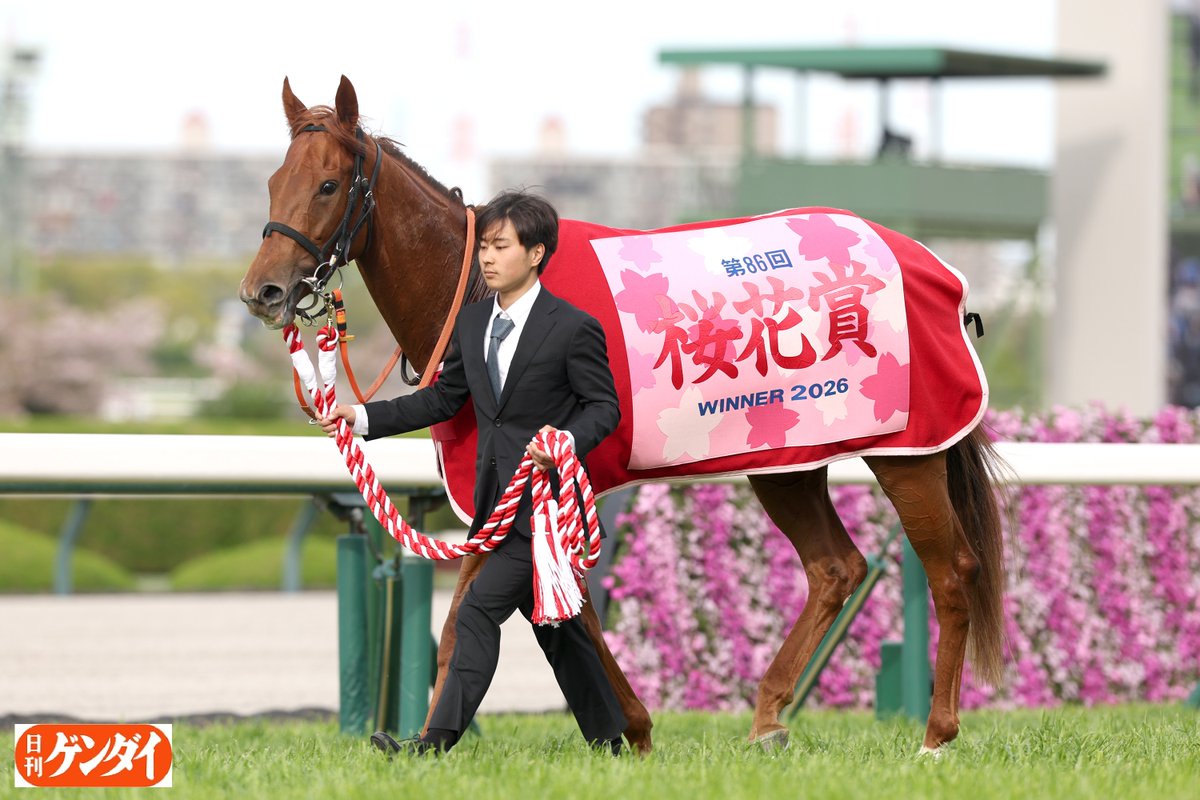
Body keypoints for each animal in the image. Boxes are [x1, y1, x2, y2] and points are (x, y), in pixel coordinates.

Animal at [240, 76, 1008, 757]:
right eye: (274, 181)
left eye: (329, 185)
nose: (262, 291)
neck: (480, 291)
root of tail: (938, 271)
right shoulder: (504, 484)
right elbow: (500, 612)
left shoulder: (548, 470)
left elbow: (521, 606)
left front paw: (622, 728)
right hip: (787, 456)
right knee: (835, 568)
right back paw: (768, 719)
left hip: (906, 449)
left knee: (952, 571)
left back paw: (936, 734)